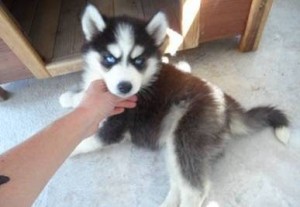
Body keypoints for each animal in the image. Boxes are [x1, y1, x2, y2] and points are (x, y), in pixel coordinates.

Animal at [59, 4, 290, 207]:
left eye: (139, 60)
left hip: (187, 134)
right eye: (109, 58)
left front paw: (66, 152)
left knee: (196, 190)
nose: (125, 87)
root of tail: (225, 102)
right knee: (180, 181)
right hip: (173, 141)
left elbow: (85, 142)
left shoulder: (114, 129)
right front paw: (71, 98)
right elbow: (87, 96)